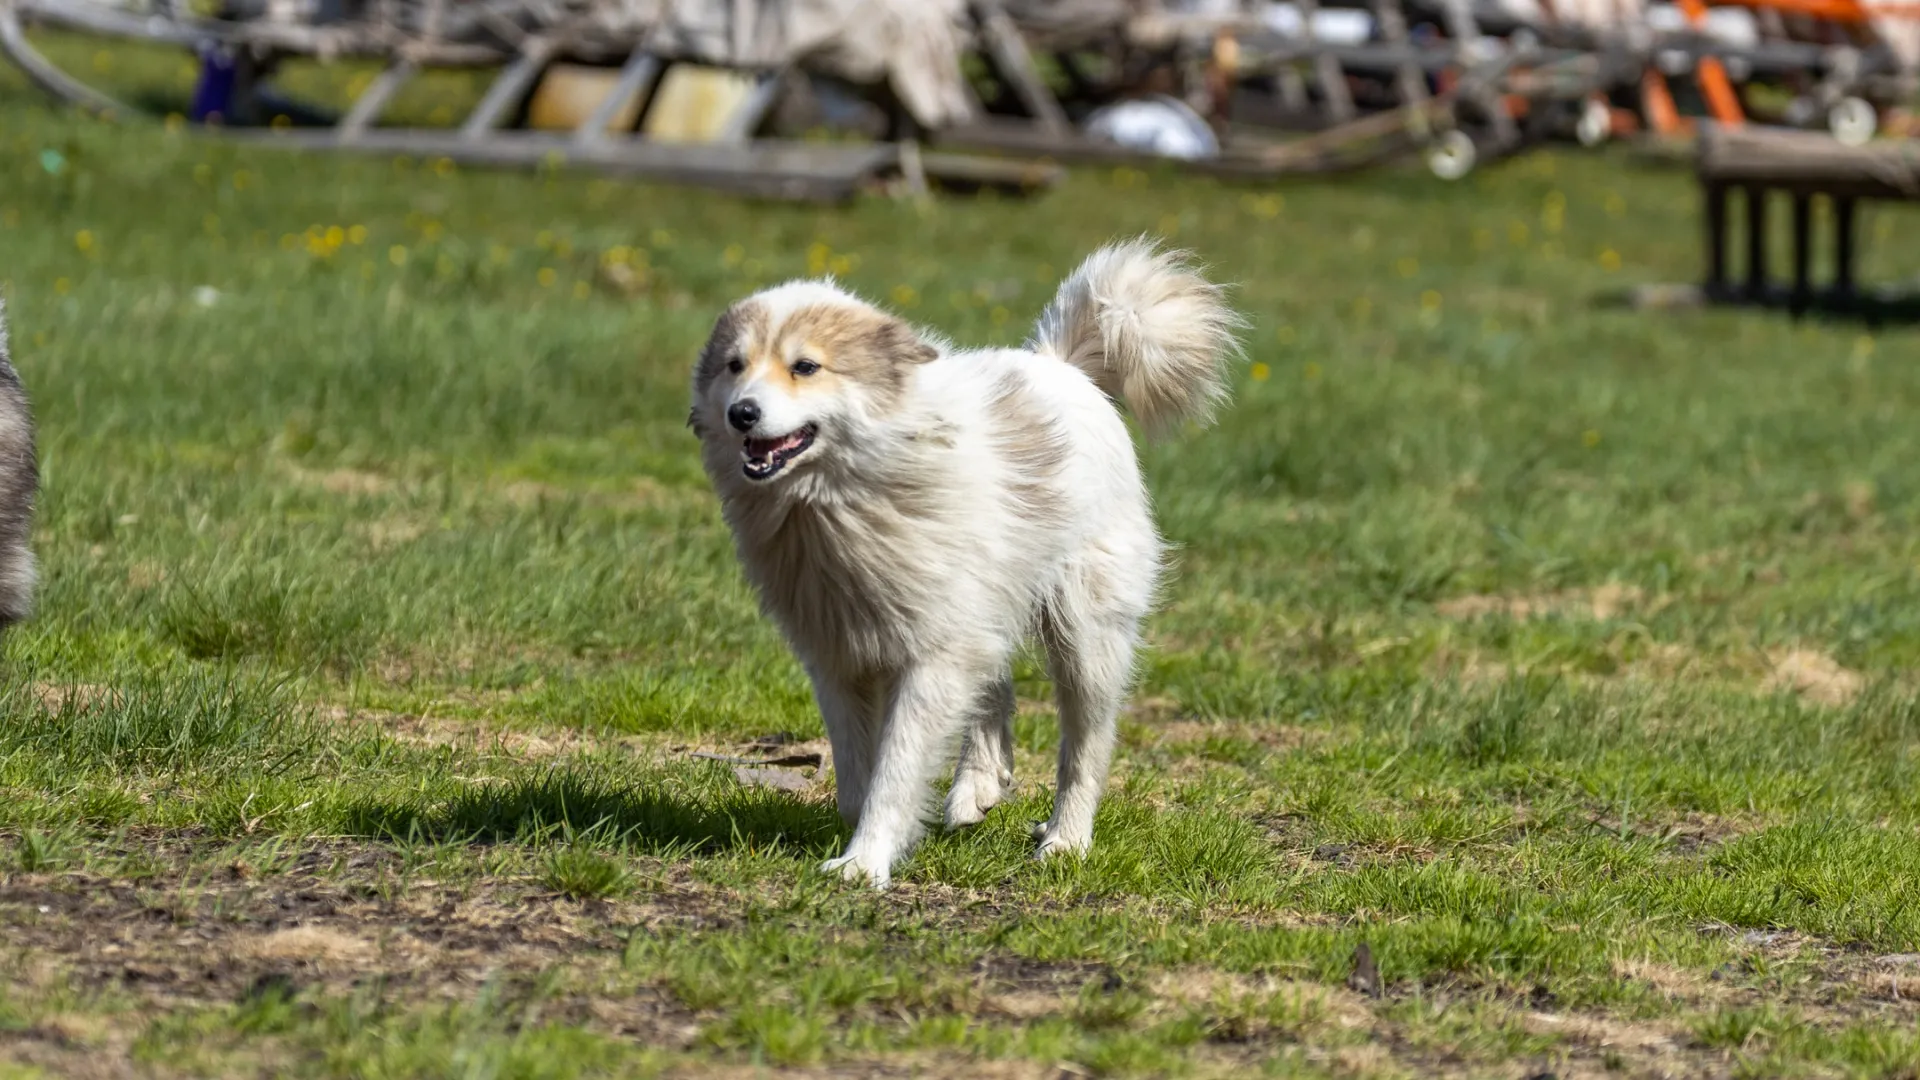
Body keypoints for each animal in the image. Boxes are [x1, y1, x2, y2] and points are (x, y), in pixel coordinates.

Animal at [691, 239, 1244, 887]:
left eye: (805, 367)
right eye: (734, 366)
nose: (743, 413)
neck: (844, 497)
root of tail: (1064, 367)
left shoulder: (931, 658)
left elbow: (895, 771)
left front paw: (864, 863)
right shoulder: (837, 658)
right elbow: (857, 773)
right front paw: (876, 835)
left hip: (1086, 638)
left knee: (1085, 746)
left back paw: (1065, 840)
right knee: (995, 682)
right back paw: (977, 788)